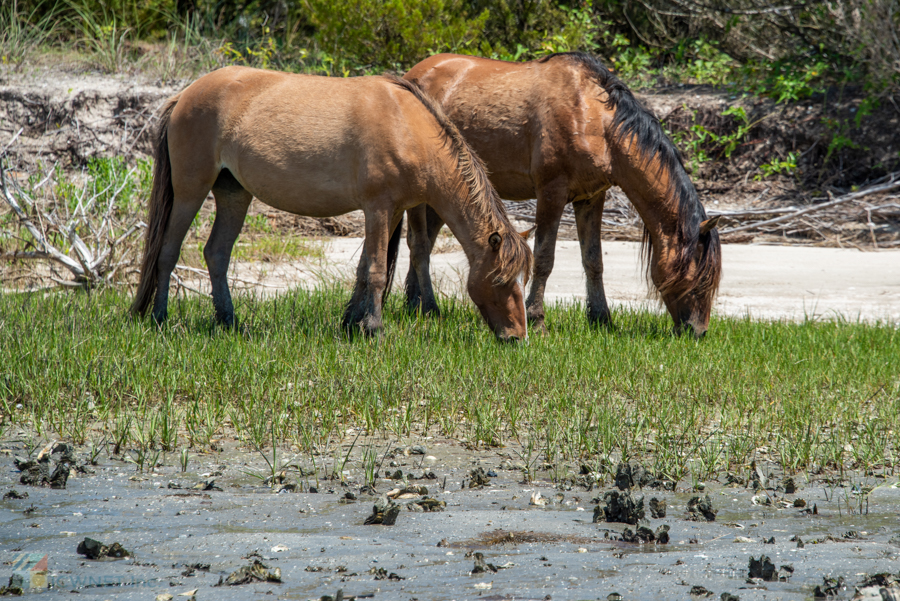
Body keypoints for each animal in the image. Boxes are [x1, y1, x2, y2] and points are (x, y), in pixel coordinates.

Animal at [129, 68, 532, 340]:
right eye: (499, 279)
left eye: (523, 280)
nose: (517, 336)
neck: (407, 125)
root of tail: (184, 95)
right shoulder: (378, 208)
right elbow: (376, 270)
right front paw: (374, 328)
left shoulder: (391, 211)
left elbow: (364, 268)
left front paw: (352, 322)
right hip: (190, 191)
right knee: (168, 251)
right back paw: (159, 318)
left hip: (234, 194)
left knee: (216, 253)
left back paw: (229, 321)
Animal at [400, 52, 724, 338]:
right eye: (699, 278)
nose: (697, 331)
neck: (594, 120)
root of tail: (412, 75)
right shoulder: (551, 192)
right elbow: (544, 258)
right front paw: (536, 319)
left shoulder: (591, 198)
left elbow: (593, 260)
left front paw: (602, 320)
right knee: (418, 244)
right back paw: (427, 308)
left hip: (445, 192)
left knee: (426, 241)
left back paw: (413, 302)